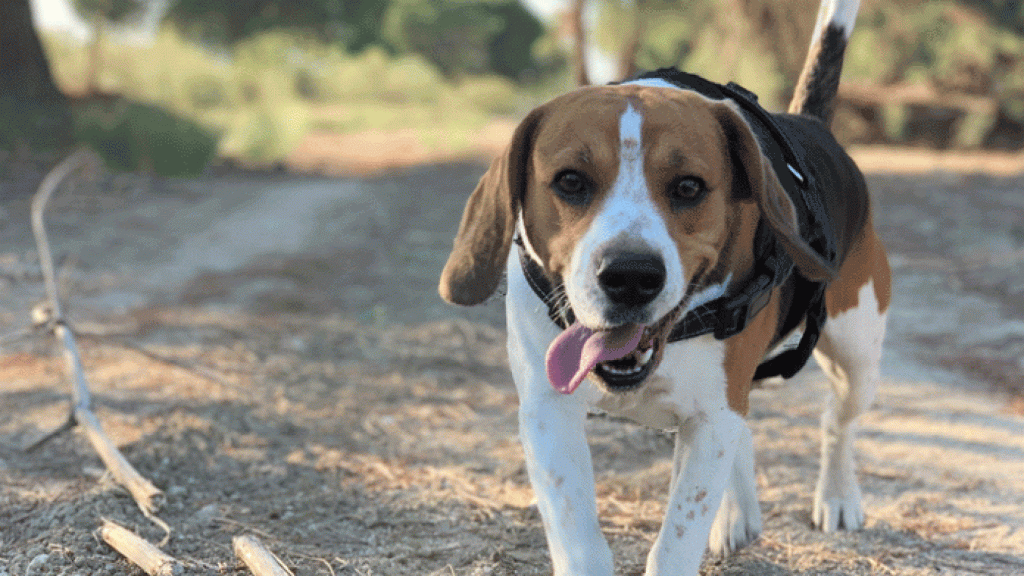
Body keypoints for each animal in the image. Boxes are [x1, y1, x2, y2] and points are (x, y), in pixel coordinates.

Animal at [440, 2, 888, 569]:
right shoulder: (547, 411)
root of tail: (811, 123)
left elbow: (677, 541)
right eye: (569, 181)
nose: (630, 277)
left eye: (689, 187)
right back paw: (737, 512)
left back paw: (836, 496)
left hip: (856, 356)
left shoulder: (710, 416)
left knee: (837, 422)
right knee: (749, 432)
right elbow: (580, 541)